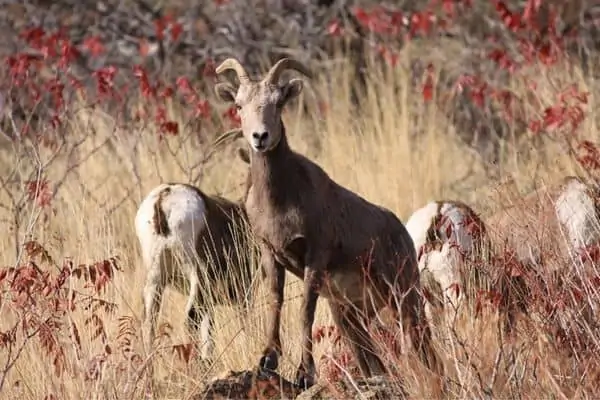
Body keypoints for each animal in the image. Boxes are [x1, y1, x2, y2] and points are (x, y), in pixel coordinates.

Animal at [136, 183, 260, 370]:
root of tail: (164, 198)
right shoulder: (244, 296)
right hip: (197, 280)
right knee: (190, 320)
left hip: (155, 281)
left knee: (148, 325)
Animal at [213, 57, 442, 390]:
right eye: (239, 105)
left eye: (278, 103)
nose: (260, 137)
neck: (279, 201)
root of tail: (403, 233)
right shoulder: (271, 254)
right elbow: (276, 302)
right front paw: (268, 360)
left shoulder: (316, 257)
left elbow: (304, 313)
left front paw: (304, 374)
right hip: (350, 316)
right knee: (372, 359)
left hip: (403, 297)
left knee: (425, 350)